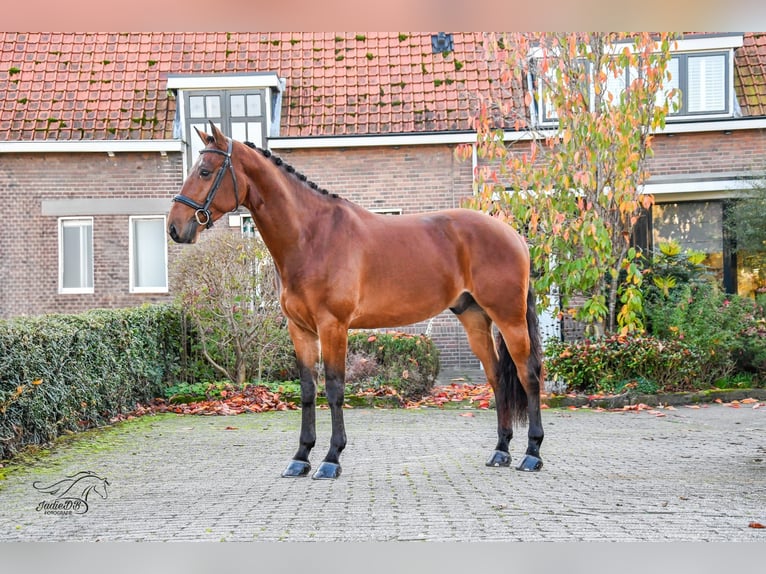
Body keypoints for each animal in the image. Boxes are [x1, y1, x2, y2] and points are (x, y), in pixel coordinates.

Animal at [166, 122, 544, 482]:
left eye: (205, 171)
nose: (174, 227)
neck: (311, 237)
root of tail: (514, 236)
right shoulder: (300, 329)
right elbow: (307, 390)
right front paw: (300, 458)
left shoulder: (333, 326)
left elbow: (334, 388)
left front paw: (331, 460)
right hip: (475, 318)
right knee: (497, 378)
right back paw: (500, 451)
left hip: (509, 319)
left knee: (529, 375)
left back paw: (532, 454)